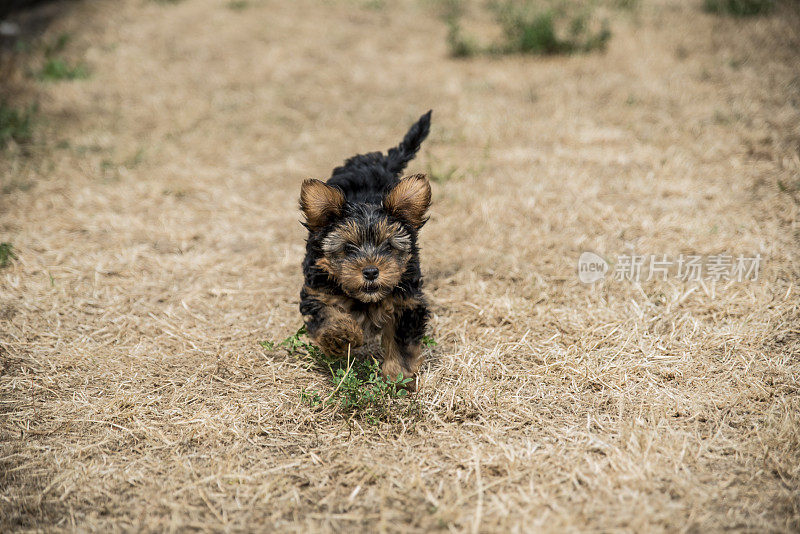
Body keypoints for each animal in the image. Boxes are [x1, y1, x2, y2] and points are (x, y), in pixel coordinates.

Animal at [300, 112, 434, 390]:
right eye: (349, 248)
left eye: (388, 246)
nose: (371, 271)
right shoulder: (317, 291)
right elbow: (327, 313)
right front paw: (341, 335)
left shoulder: (407, 301)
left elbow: (402, 339)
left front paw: (398, 375)